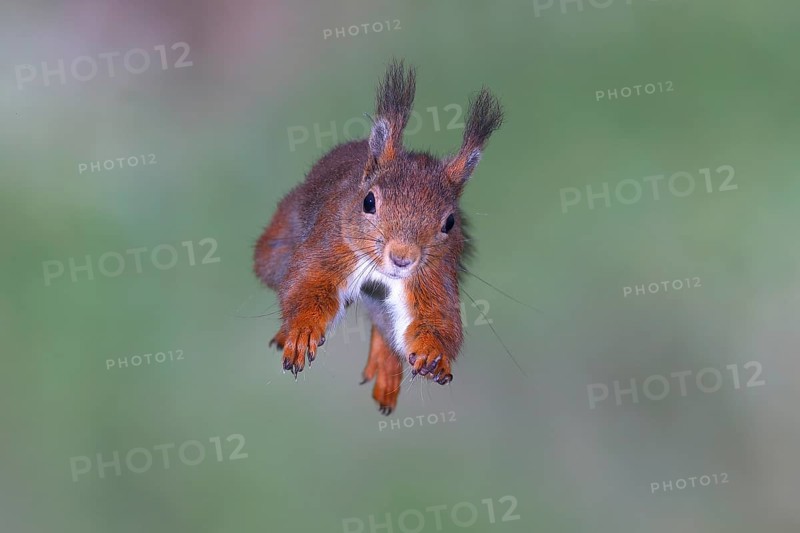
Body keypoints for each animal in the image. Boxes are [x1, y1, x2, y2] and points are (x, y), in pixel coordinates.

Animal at [253, 59, 503, 415]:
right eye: (368, 202)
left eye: (450, 223)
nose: (402, 258)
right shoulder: (329, 246)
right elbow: (307, 285)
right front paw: (301, 333)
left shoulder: (434, 277)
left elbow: (438, 318)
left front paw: (433, 353)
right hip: (277, 246)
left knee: (384, 327)